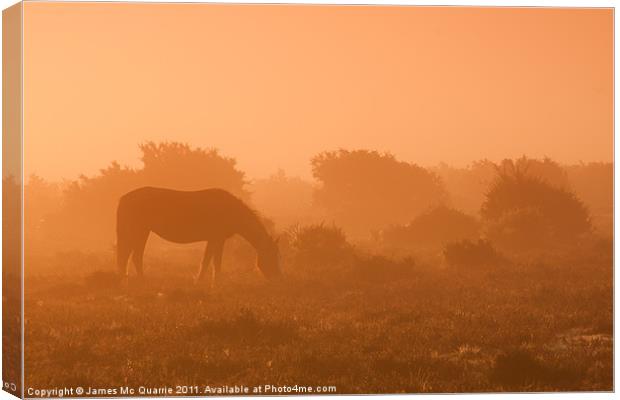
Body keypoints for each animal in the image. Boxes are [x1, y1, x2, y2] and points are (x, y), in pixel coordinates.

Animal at [116, 186, 280, 286]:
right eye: (273, 256)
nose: (277, 279)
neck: (231, 210)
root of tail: (123, 198)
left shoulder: (213, 239)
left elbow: (206, 261)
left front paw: (199, 282)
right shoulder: (218, 239)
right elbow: (215, 262)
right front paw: (215, 284)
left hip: (142, 231)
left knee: (133, 256)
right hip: (137, 231)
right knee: (130, 256)